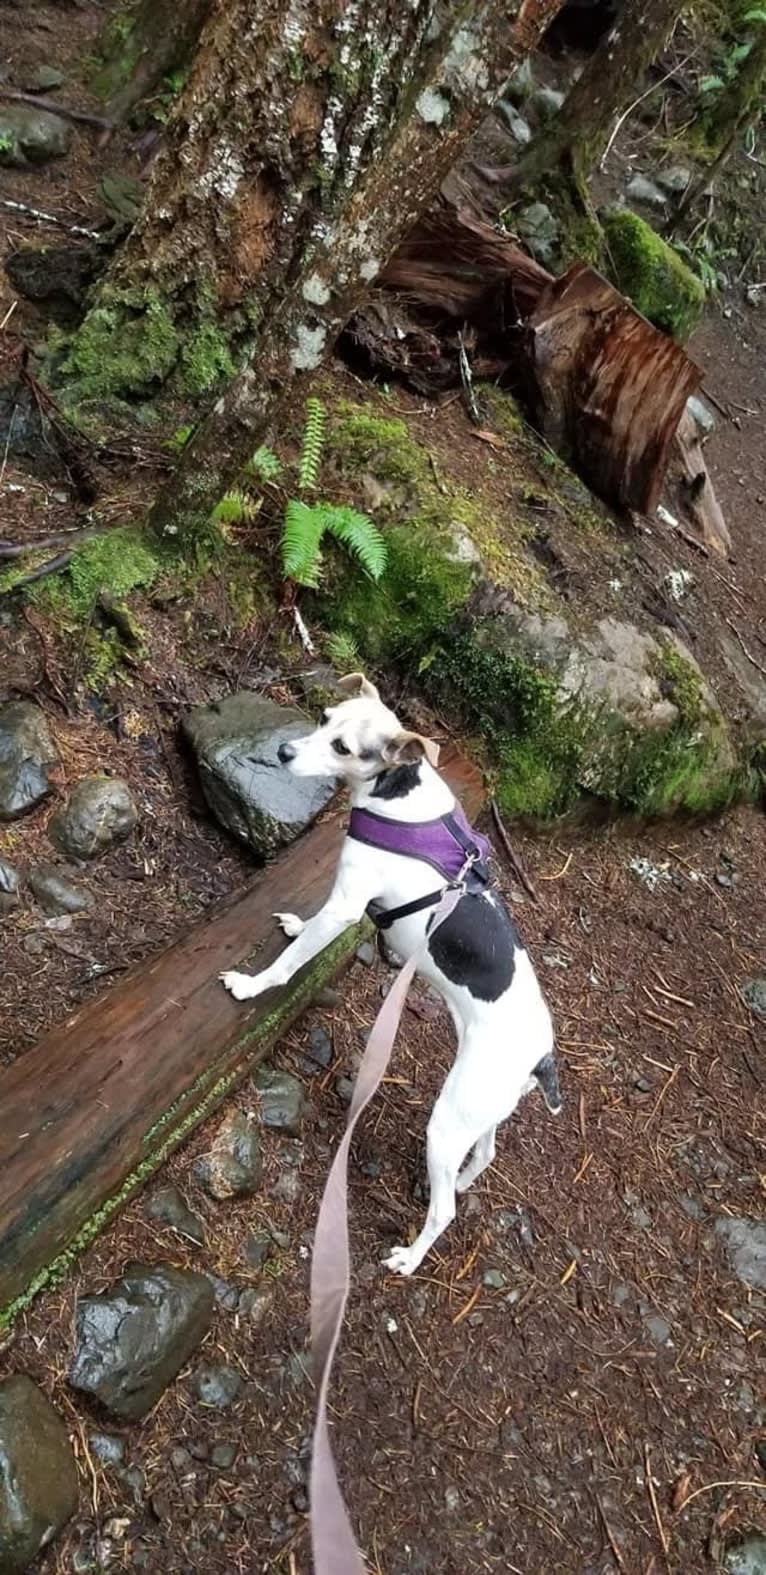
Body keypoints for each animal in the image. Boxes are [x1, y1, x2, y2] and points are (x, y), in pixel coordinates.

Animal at [219, 670, 561, 1272]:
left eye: (342, 748)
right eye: (324, 717)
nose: (284, 753)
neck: (399, 795)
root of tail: (540, 1054)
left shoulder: (346, 906)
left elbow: (290, 963)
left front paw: (253, 984)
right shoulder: (340, 903)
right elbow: (306, 931)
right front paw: (294, 926)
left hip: (447, 1122)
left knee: (445, 1211)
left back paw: (410, 1256)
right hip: (482, 1113)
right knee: (485, 1152)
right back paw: (462, 1181)